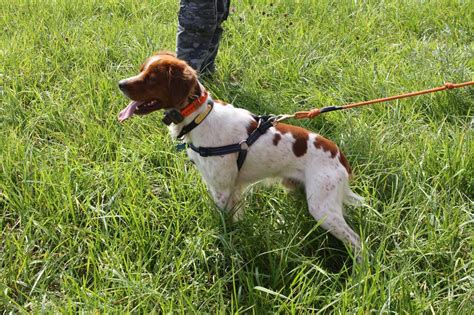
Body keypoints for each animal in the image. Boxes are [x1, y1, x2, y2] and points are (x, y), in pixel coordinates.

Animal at [118, 51, 362, 254]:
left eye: (152, 78)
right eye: (141, 70)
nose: (120, 83)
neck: (199, 118)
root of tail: (340, 156)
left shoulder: (222, 190)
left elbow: (223, 224)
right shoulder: (232, 190)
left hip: (322, 207)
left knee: (357, 241)